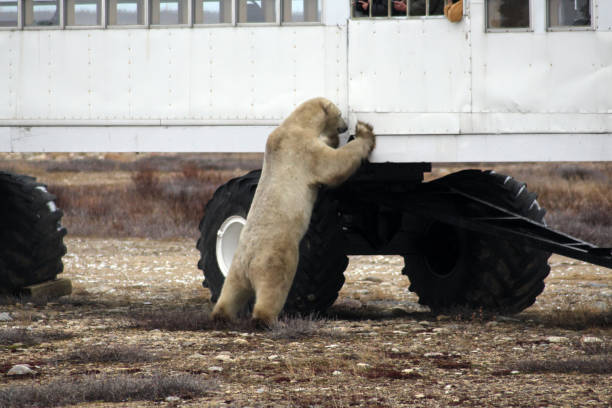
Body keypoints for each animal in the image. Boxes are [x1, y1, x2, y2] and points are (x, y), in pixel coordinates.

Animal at [210, 97, 376, 326]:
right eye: (340, 113)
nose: (344, 127)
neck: (295, 124)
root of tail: (249, 261)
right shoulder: (304, 149)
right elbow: (334, 165)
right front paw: (364, 131)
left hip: (236, 267)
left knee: (231, 291)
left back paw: (221, 314)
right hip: (275, 258)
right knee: (274, 287)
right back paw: (265, 319)